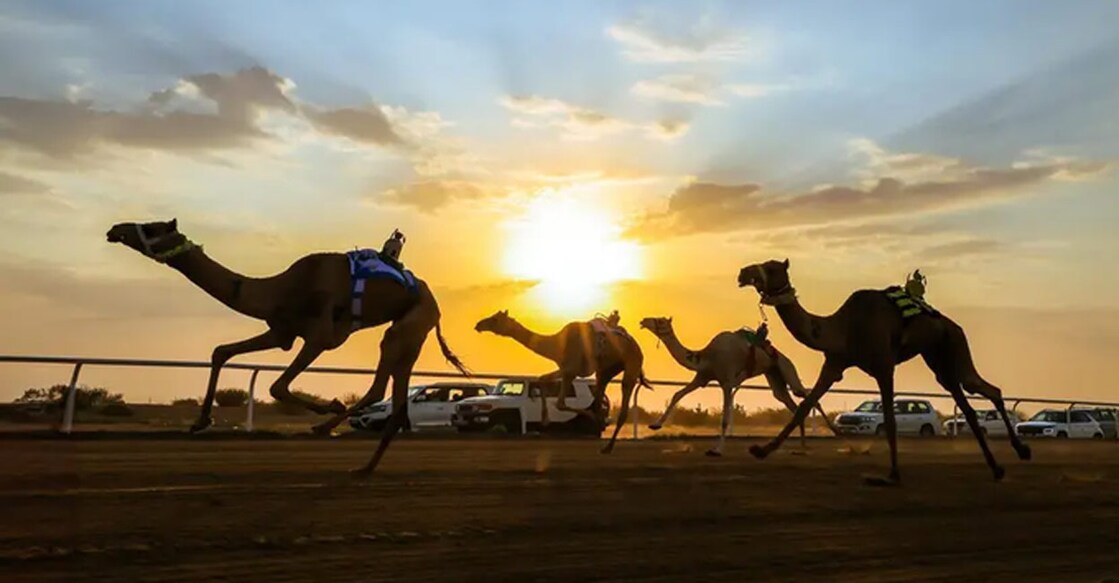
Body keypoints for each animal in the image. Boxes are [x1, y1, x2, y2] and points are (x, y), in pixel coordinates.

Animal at [105, 218, 467, 472]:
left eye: (152, 227)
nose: (115, 229)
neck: (280, 288)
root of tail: (434, 302)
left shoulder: (320, 336)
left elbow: (278, 386)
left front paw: (329, 405)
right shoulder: (282, 332)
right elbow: (221, 352)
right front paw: (199, 422)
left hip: (410, 323)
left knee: (382, 382)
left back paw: (325, 427)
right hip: (410, 331)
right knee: (396, 398)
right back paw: (363, 467)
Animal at [474, 311, 653, 452]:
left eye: (495, 319)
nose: (478, 324)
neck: (557, 344)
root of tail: (637, 347)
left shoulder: (571, 371)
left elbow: (560, 403)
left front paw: (587, 417)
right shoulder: (565, 370)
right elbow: (543, 380)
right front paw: (545, 419)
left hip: (632, 363)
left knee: (624, 399)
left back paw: (608, 447)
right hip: (606, 370)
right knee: (600, 392)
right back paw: (601, 426)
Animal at [640, 315, 841, 456]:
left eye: (659, 320)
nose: (643, 320)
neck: (707, 356)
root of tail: (782, 357)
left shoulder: (727, 382)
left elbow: (725, 418)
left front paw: (716, 450)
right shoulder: (703, 377)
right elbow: (677, 394)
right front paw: (655, 425)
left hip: (787, 370)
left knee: (809, 397)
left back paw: (835, 431)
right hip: (775, 378)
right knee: (792, 404)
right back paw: (801, 447)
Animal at [738, 258, 1033, 481]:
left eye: (772, 267)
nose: (743, 272)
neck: (842, 327)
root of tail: (953, 325)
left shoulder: (883, 365)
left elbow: (890, 418)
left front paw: (893, 473)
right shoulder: (834, 363)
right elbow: (803, 406)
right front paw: (761, 450)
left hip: (955, 346)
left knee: (985, 389)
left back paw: (1017, 454)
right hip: (937, 360)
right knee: (971, 404)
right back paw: (1000, 465)